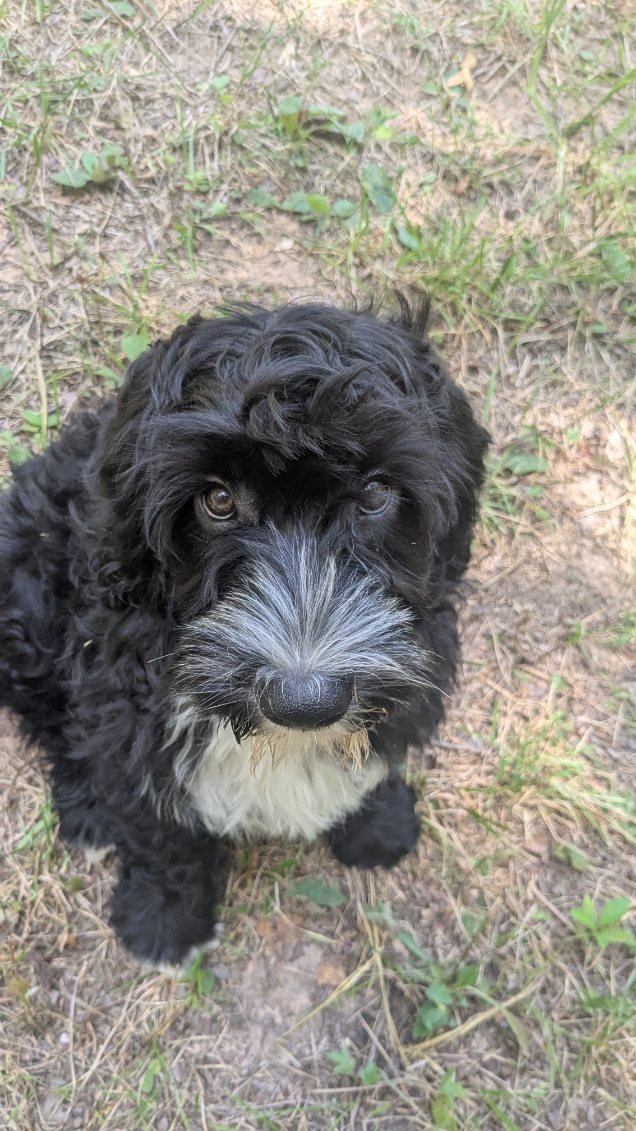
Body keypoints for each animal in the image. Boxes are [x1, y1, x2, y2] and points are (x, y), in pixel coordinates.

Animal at [0, 299, 488, 966]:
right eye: (218, 499)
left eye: (375, 493)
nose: (306, 703)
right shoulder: (124, 700)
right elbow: (158, 831)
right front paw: (164, 919)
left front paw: (377, 823)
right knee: (48, 714)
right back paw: (88, 810)